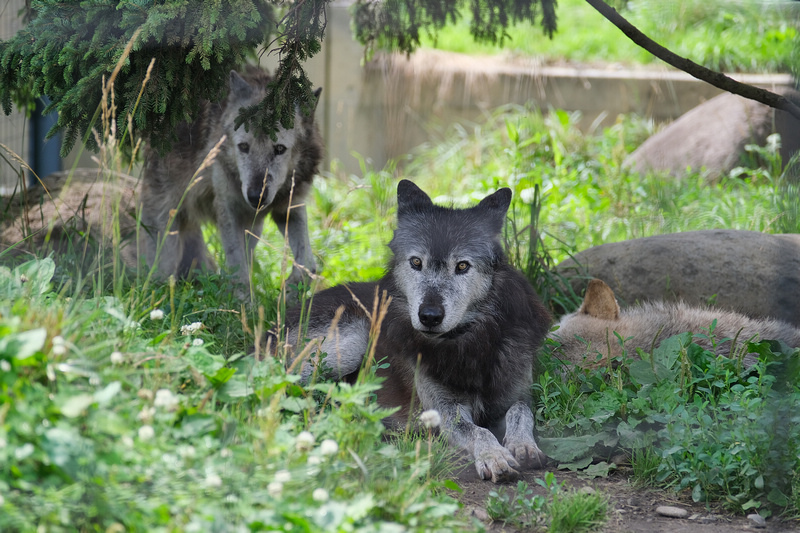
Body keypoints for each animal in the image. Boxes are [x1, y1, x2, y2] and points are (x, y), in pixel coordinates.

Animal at [140, 66, 322, 294]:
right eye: (243, 147)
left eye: (279, 149)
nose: (255, 197)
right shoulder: (228, 207)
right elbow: (238, 270)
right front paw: (244, 303)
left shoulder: (289, 207)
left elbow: (308, 263)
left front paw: (291, 290)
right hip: (167, 227)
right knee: (160, 273)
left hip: (252, 228)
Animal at [280, 180, 552, 482]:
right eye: (416, 263)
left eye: (462, 265)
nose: (429, 316)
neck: (470, 342)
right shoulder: (446, 412)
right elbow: (478, 431)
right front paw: (494, 457)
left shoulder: (516, 393)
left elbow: (521, 411)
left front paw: (524, 445)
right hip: (353, 339)